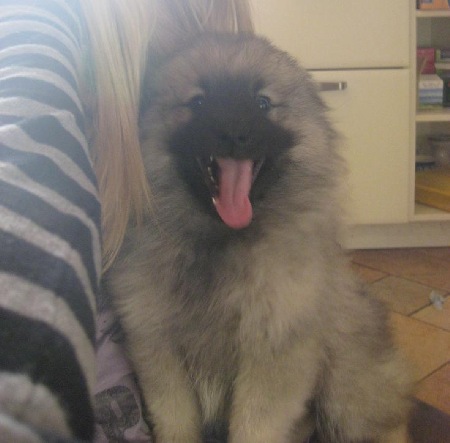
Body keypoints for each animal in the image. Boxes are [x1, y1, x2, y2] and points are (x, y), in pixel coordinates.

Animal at [105, 33, 412, 443]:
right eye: (198, 102)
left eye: (263, 103)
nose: (234, 133)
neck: (222, 244)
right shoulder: (158, 349)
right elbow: (176, 420)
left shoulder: (273, 355)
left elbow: (255, 426)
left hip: (344, 376)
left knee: (386, 421)